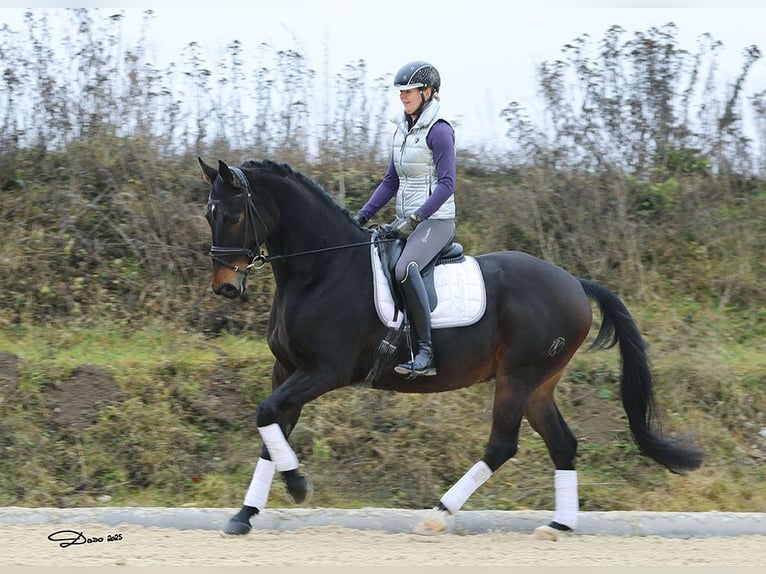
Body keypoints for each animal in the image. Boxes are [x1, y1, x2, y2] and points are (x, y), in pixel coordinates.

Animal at [197, 157, 704, 539]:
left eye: (234, 215)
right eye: (209, 215)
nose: (225, 287)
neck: (321, 269)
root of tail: (575, 283)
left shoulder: (324, 371)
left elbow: (267, 414)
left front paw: (298, 484)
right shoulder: (287, 370)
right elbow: (271, 428)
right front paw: (245, 514)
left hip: (518, 376)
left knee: (502, 444)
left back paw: (438, 515)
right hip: (540, 384)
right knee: (562, 443)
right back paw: (558, 525)